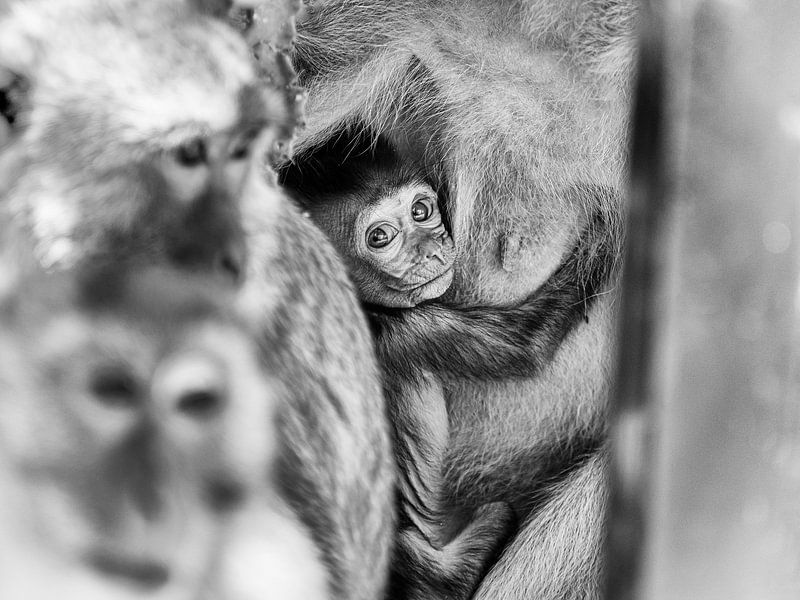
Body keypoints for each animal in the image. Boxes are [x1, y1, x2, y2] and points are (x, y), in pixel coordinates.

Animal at [282, 1, 637, 598]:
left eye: (422, 210)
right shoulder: (416, 329)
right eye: (382, 237)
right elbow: (522, 348)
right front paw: (602, 236)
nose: (431, 249)